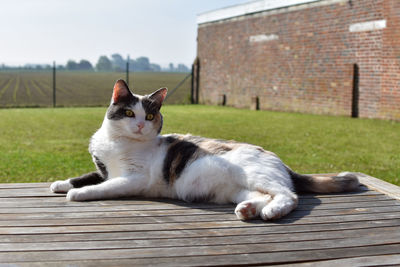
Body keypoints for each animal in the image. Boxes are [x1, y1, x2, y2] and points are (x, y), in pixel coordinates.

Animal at [50, 80, 360, 222]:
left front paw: (78, 193)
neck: (118, 144)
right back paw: (249, 209)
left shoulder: (133, 178)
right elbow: (87, 176)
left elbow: (103, 187)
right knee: (262, 196)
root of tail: (280, 161)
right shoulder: (104, 169)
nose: (139, 125)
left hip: (256, 175)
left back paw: (272, 211)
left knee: (290, 195)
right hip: (235, 189)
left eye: (149, 116)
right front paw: (61, 183)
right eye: (128, 112)